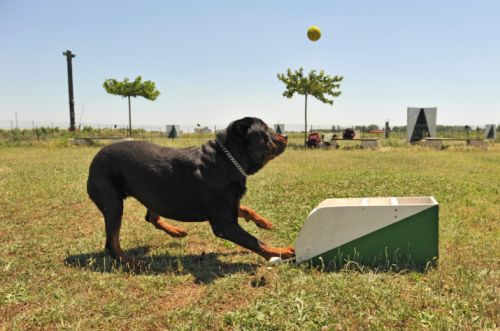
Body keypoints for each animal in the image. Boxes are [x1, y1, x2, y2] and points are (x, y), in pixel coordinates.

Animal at [88, 116, 294, 268]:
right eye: (266, 132)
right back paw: (132, 262)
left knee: (151, 216)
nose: (286, 136)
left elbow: (245, 209)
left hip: (155, 193)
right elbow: (256, 242)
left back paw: (175, 231)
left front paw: (263, 222)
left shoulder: (230, 206)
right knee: (112, 243)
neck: (228, 160)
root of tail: (94, 160)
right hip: (113, 203)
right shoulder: (224, 224)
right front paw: (284, 251)